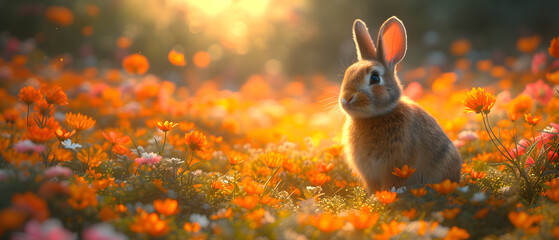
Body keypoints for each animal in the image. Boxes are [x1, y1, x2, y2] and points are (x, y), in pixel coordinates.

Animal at [340, 16, 462, 194]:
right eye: (348, 73)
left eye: (375, 78)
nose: (346, 98)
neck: (374, 116)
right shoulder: (369, 173)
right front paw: (373, 196)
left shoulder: (396, 165)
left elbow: (392, 183)